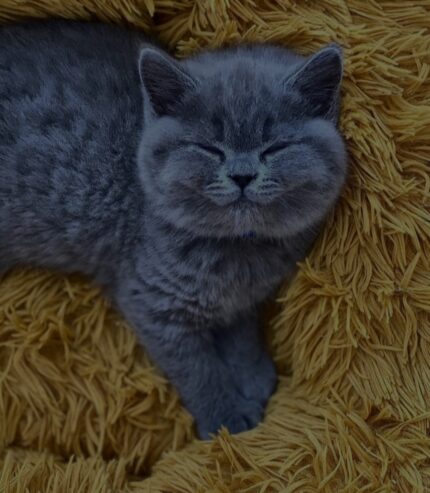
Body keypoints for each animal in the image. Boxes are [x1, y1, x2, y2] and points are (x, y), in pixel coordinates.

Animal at [0, 20, 346, 438]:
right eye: (209, 148)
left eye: (274, 148)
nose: (242, 175)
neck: (237, 252)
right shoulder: (152, 301)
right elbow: (197, 368)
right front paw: (225, 418)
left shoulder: (240, 299)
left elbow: (241, 332)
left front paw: (254, 376)